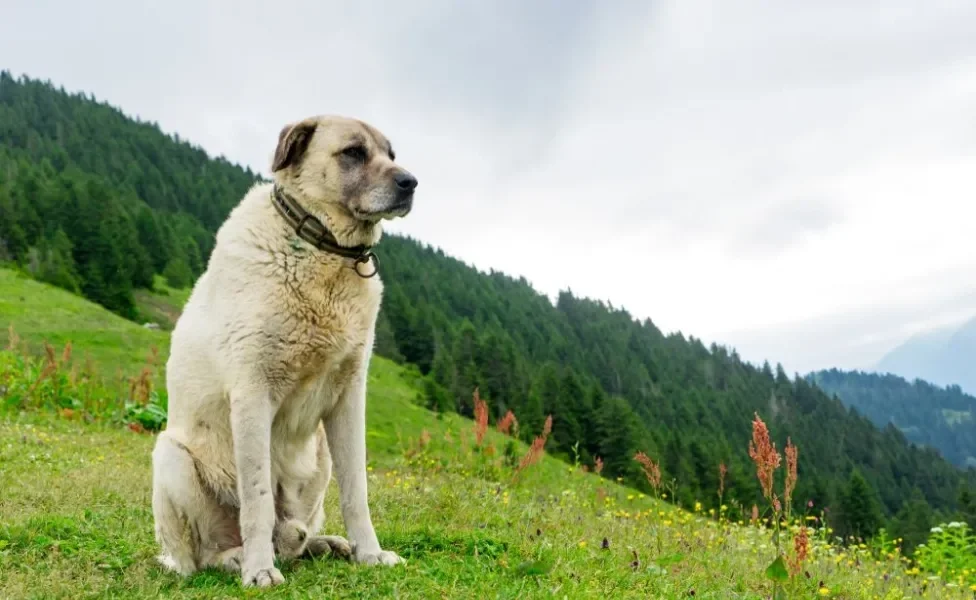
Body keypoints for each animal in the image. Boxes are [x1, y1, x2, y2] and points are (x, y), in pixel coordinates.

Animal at [151, 115, 418, 588]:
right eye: (353, 152)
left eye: (391, 153)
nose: (411, 183)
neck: (321, 248)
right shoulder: (253, 394)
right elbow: (258, 499)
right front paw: (259, 569)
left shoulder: (349, 397)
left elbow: (357, 491)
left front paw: (370, 553)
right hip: (170, 457)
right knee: (200, 557)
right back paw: (236, 558)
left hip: (320, 456)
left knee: (295, 534)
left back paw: (322, 544)